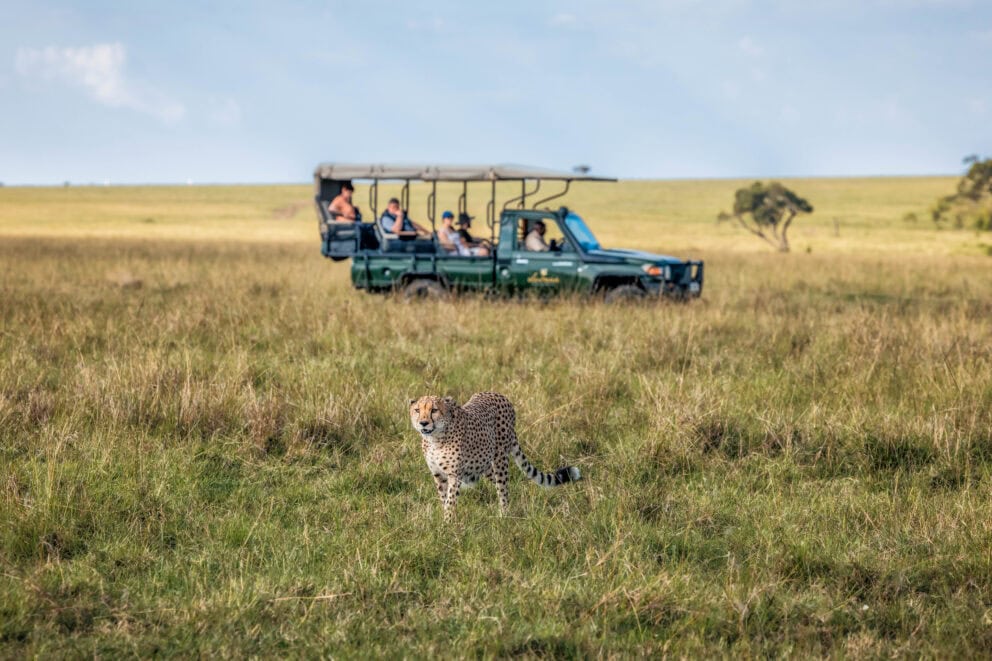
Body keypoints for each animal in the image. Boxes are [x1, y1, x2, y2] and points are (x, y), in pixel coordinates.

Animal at [408, 392, 581, 520]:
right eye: (417, 410)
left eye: (434, 410)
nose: (423, 423)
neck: (435, 439)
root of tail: (499, 395)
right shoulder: (438, 475)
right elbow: (444, 498)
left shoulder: (454, 475)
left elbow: (450, 501)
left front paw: (447, 525)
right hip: (484, 464)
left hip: (500, 460)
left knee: (503, 489)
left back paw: (504, 516)